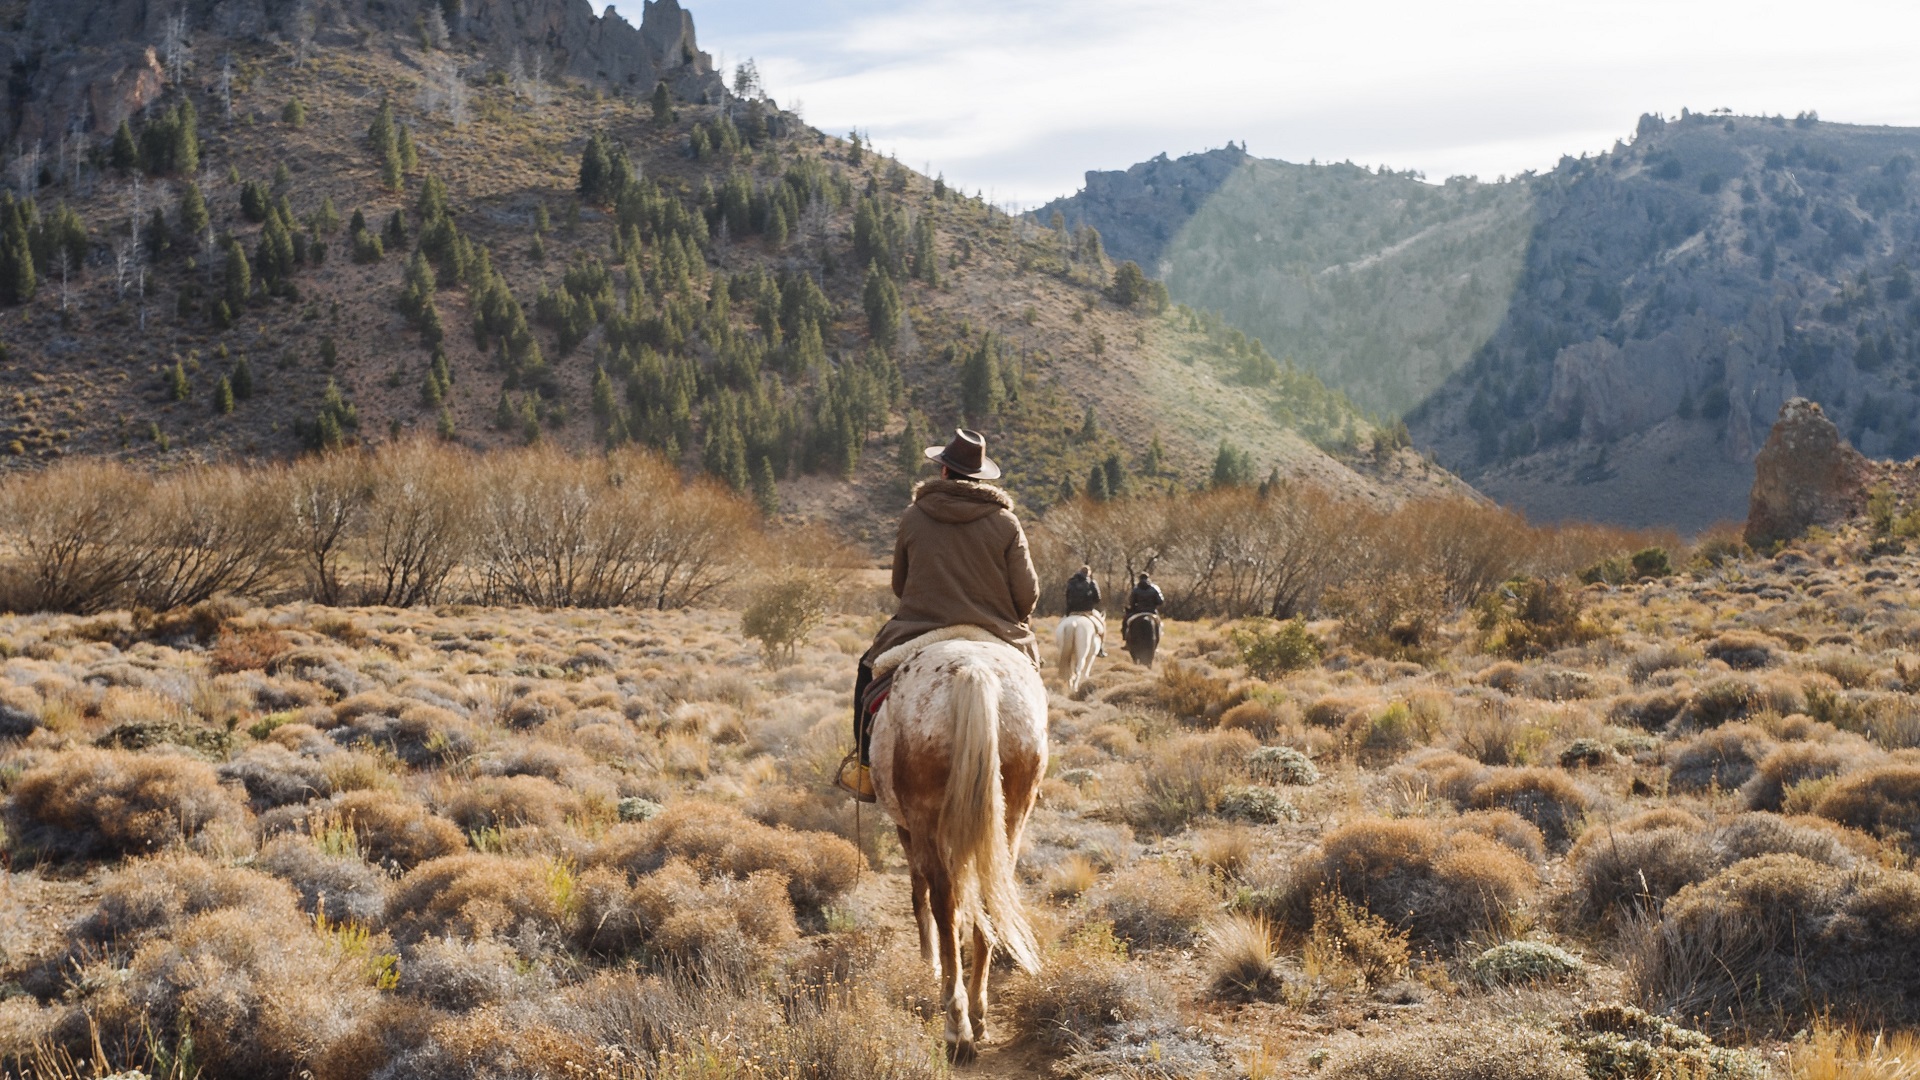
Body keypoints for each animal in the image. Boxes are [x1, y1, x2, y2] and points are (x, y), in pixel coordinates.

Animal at [869, 627, 1046, 1064]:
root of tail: (974, 670)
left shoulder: (907, 828)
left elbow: (919, 895)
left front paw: (927, 964)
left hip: (924, 819)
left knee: (942, 901)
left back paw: (957, 1025)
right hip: (1011, 815)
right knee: (990, 899)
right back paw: (978, 1015)